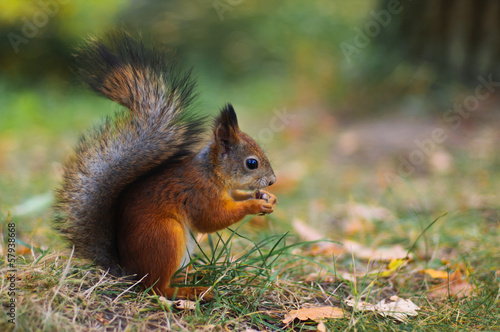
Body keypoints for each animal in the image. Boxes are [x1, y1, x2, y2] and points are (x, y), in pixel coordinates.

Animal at [54, 31, 278, 300]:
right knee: (158, 288)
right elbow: (212, 219)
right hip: (165, 235)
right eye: (252, 163)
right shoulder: (199, 194)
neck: (211, 173)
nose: (273, 180)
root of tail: (129, 272)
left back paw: (192, 276)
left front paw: (266, 197)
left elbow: (234, 196)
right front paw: (254, 204)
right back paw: (191, 291)